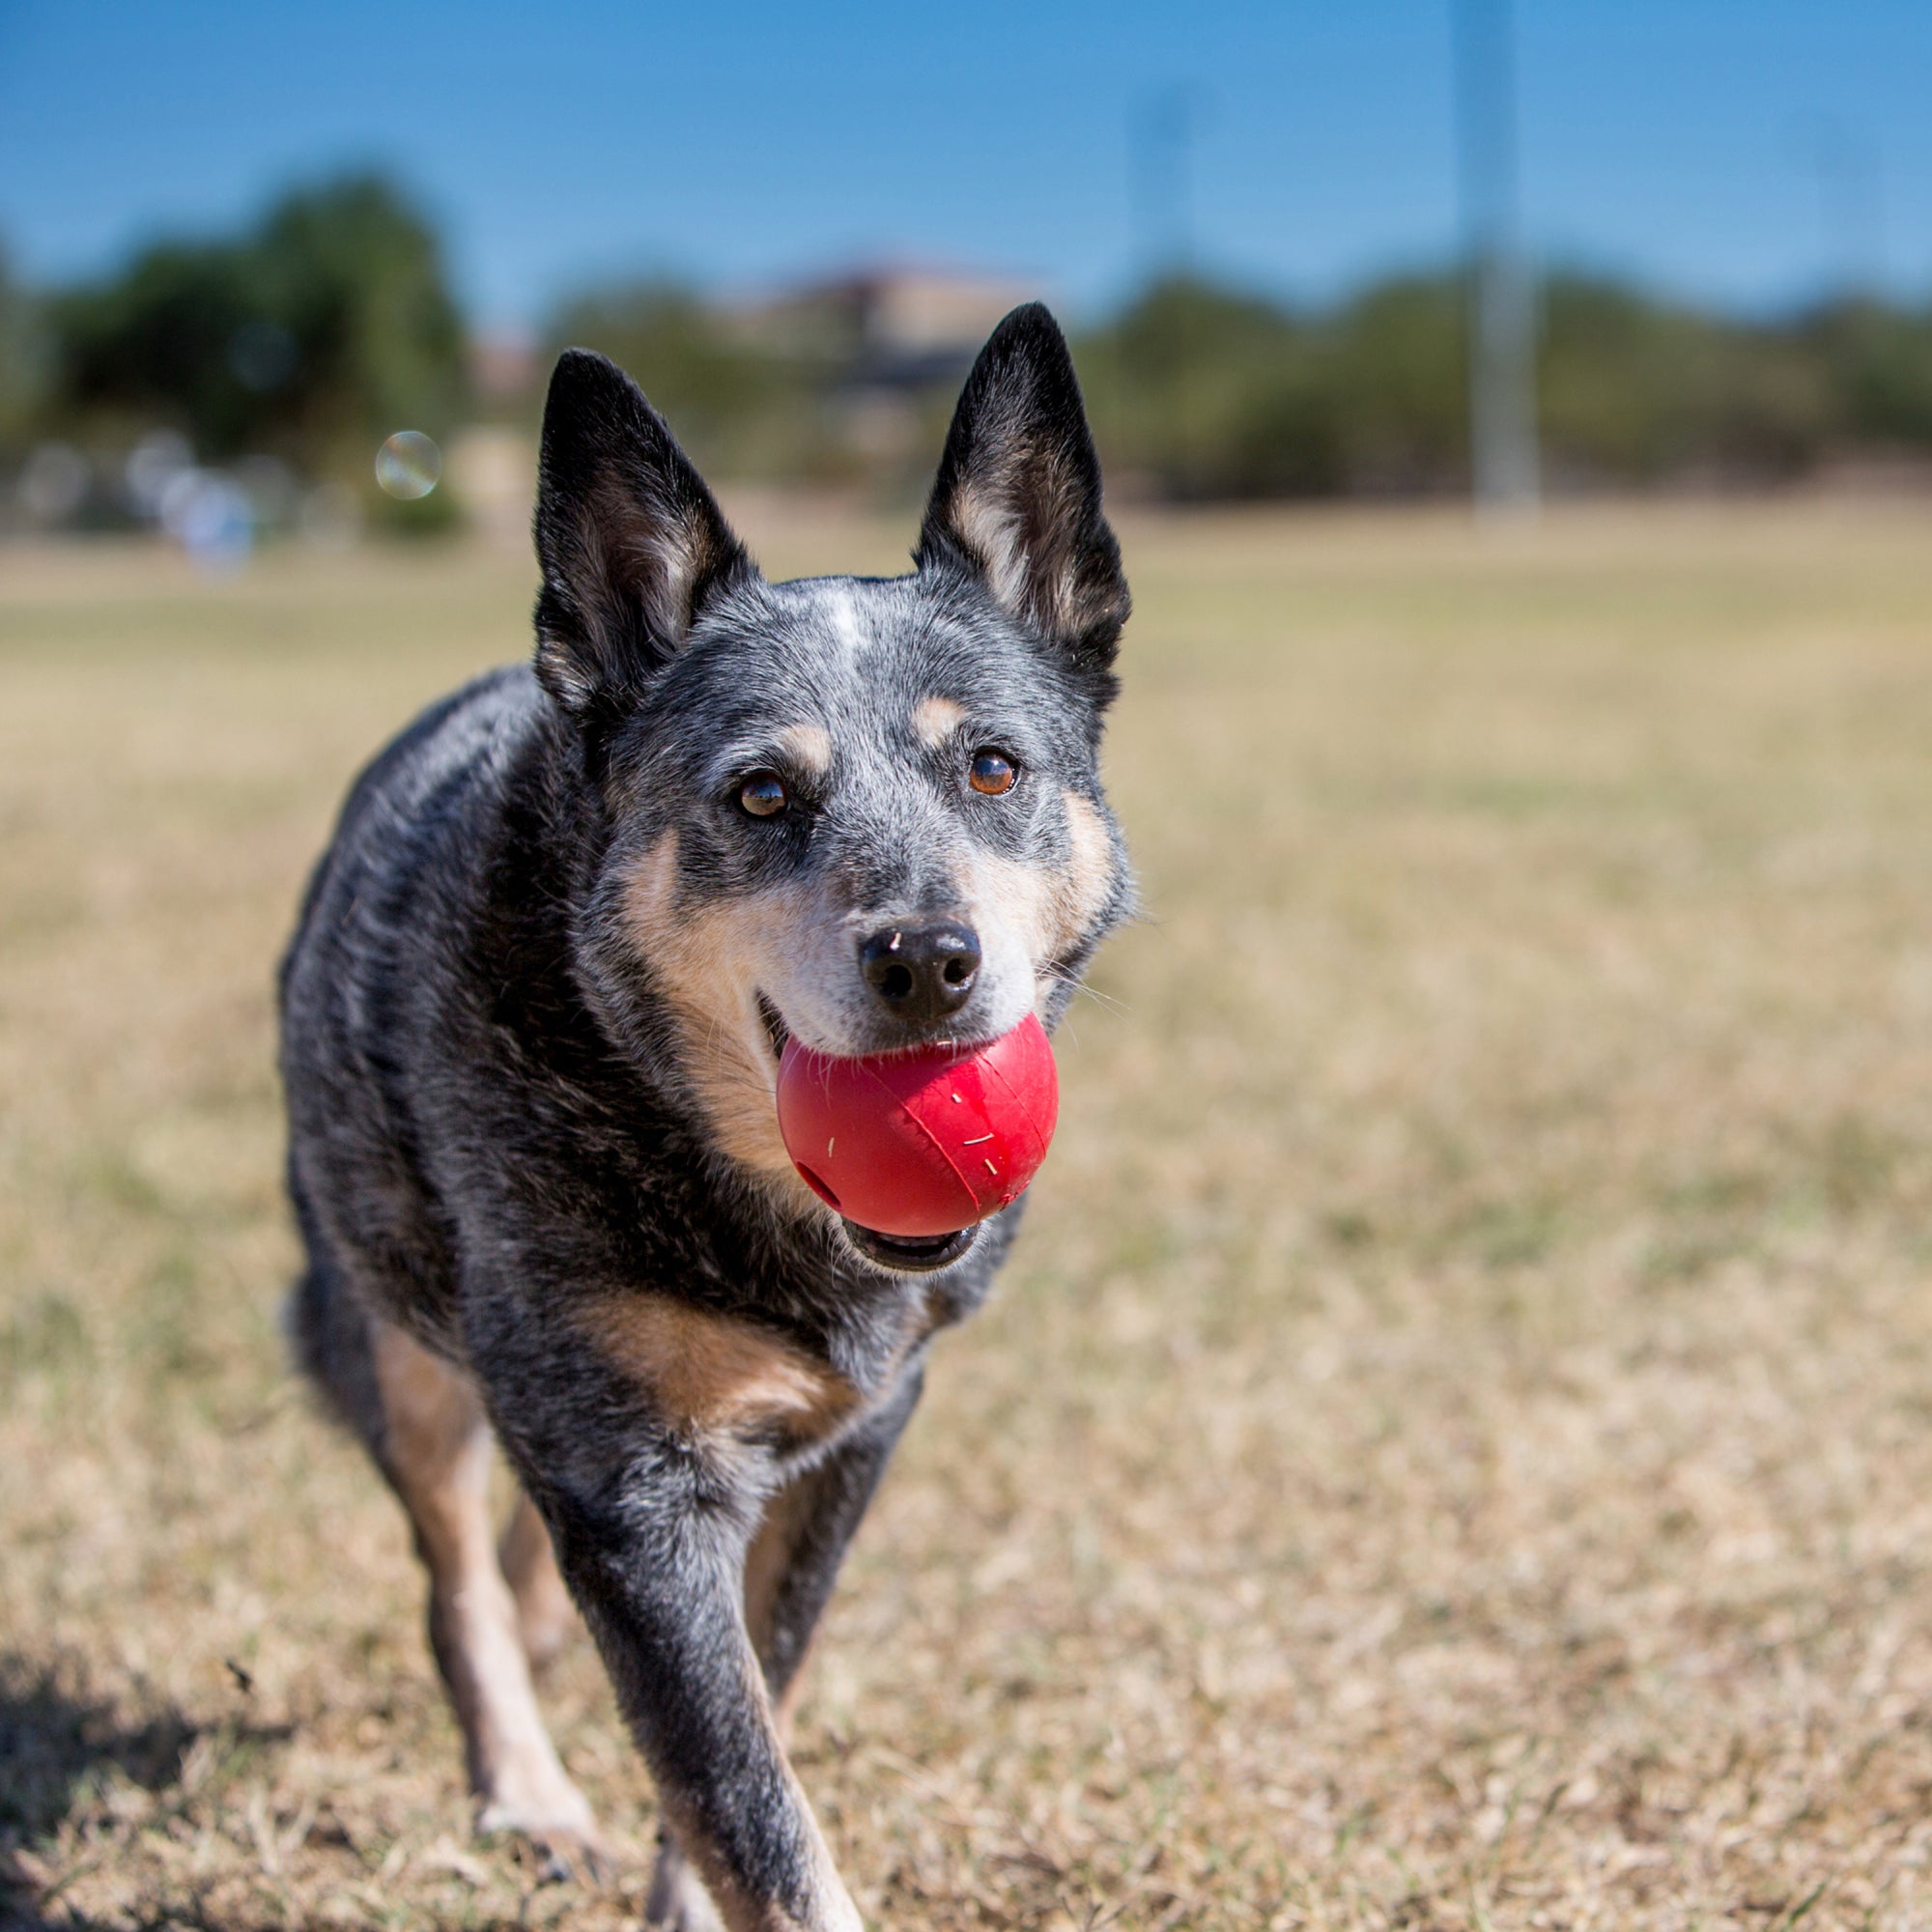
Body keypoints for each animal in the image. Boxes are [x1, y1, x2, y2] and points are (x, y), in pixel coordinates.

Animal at [280, 305, 1136, 1932]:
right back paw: (528, 1790)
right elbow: (747, 1797)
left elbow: (761, 1698)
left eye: (992, 766)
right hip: (386, 1322)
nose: (928, 959)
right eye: (760, 796)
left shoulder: (857, 1435)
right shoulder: (632, 1491)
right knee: (452, 1572)